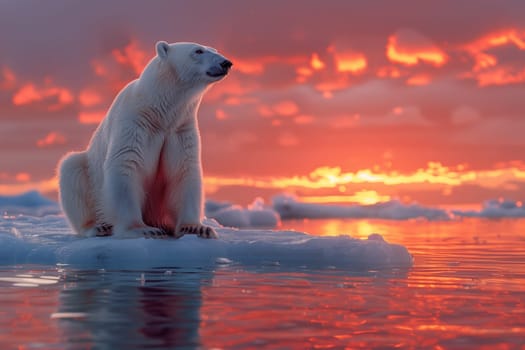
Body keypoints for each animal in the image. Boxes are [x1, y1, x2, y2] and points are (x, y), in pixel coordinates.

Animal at [57, 40, 231, 238]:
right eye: (198, 51)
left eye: (214, 49)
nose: (226, 63)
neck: (159, 112)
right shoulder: (135, 122)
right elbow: (126, 164)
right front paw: (143, 229)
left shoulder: (179, 129)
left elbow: (184, 169)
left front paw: (197, 228)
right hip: (89, 177)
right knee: (72, 170)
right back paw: (98, 227)